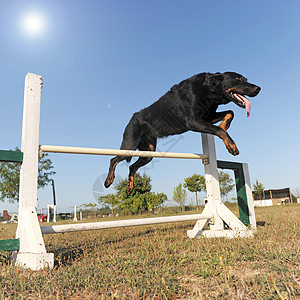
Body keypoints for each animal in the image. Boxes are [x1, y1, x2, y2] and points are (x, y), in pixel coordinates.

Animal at [105, 72, 260, 192]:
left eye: (246, 79)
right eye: (238, 79)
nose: (258, 88)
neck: (207, 89)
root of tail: (132, 118)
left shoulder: (207, 117)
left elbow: (230, 113)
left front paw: (224, 125)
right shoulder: (193, 121)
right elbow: (219, 129)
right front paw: (232, 146)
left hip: (149, 152)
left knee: (132, 166)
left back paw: (130, 187)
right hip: (130, 145)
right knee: (114, 159)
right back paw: (108, 180)